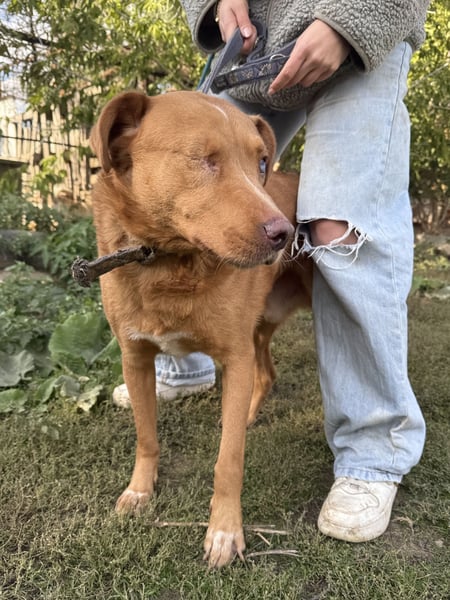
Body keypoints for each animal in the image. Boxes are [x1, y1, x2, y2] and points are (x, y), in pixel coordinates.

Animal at [90, 90, 312, 567]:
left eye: (261, 163)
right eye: (202, 159)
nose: (286, 234)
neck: (169, 262)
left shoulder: (234, 356)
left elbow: (228, 460)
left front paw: (225, 531)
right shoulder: (135, 358)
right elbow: (146, 436)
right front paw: (140, 491)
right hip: (258, 329)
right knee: (267, 374)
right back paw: (245, 414)